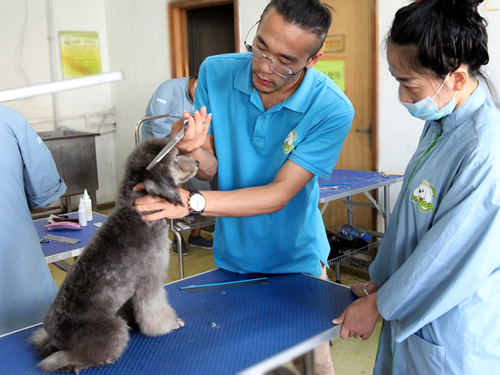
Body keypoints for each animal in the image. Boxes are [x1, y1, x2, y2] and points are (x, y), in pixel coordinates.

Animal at [29, 138, 199, 374]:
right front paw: (168, 325)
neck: (139, 213)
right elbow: (155, 308)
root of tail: (55, 336)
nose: (198, 161)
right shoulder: (150, 279)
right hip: (113, 330)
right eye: (175, 159)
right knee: (71, 358)